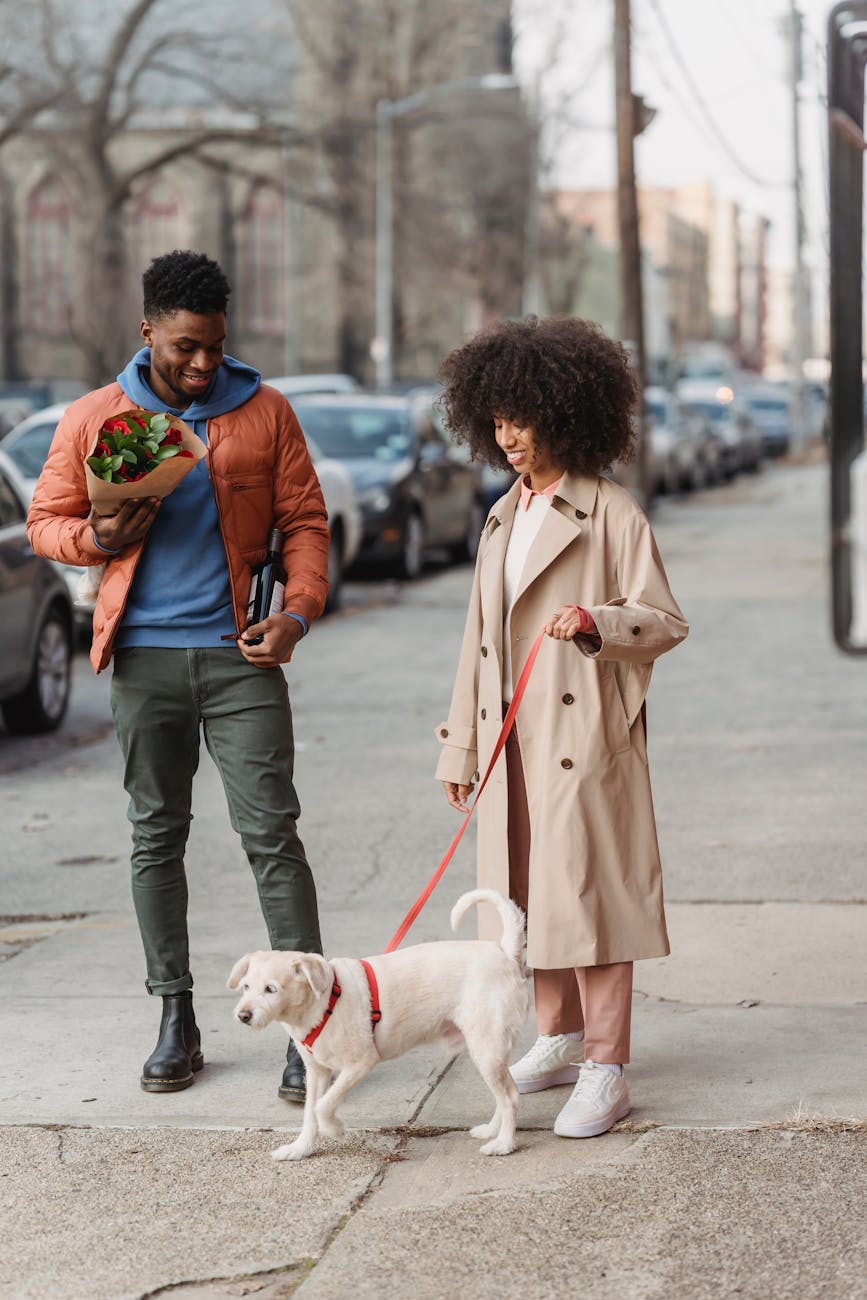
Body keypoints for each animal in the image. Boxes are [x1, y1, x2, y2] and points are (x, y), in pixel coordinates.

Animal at [227, 889, 530, 1164]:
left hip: (486, 1049)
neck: (324, 1001)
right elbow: (310, 1112)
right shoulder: (316, 1072)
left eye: (271, 989)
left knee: (511, 1098)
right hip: (488, 1052)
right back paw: (492, 1130)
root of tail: (505, 953)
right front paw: (301, 1149)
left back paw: (504, 1144)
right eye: (246, 987)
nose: (243, 1015)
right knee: (507, 1093)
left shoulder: (360, 1064)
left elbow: (323, 1106)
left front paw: (334, 1129)